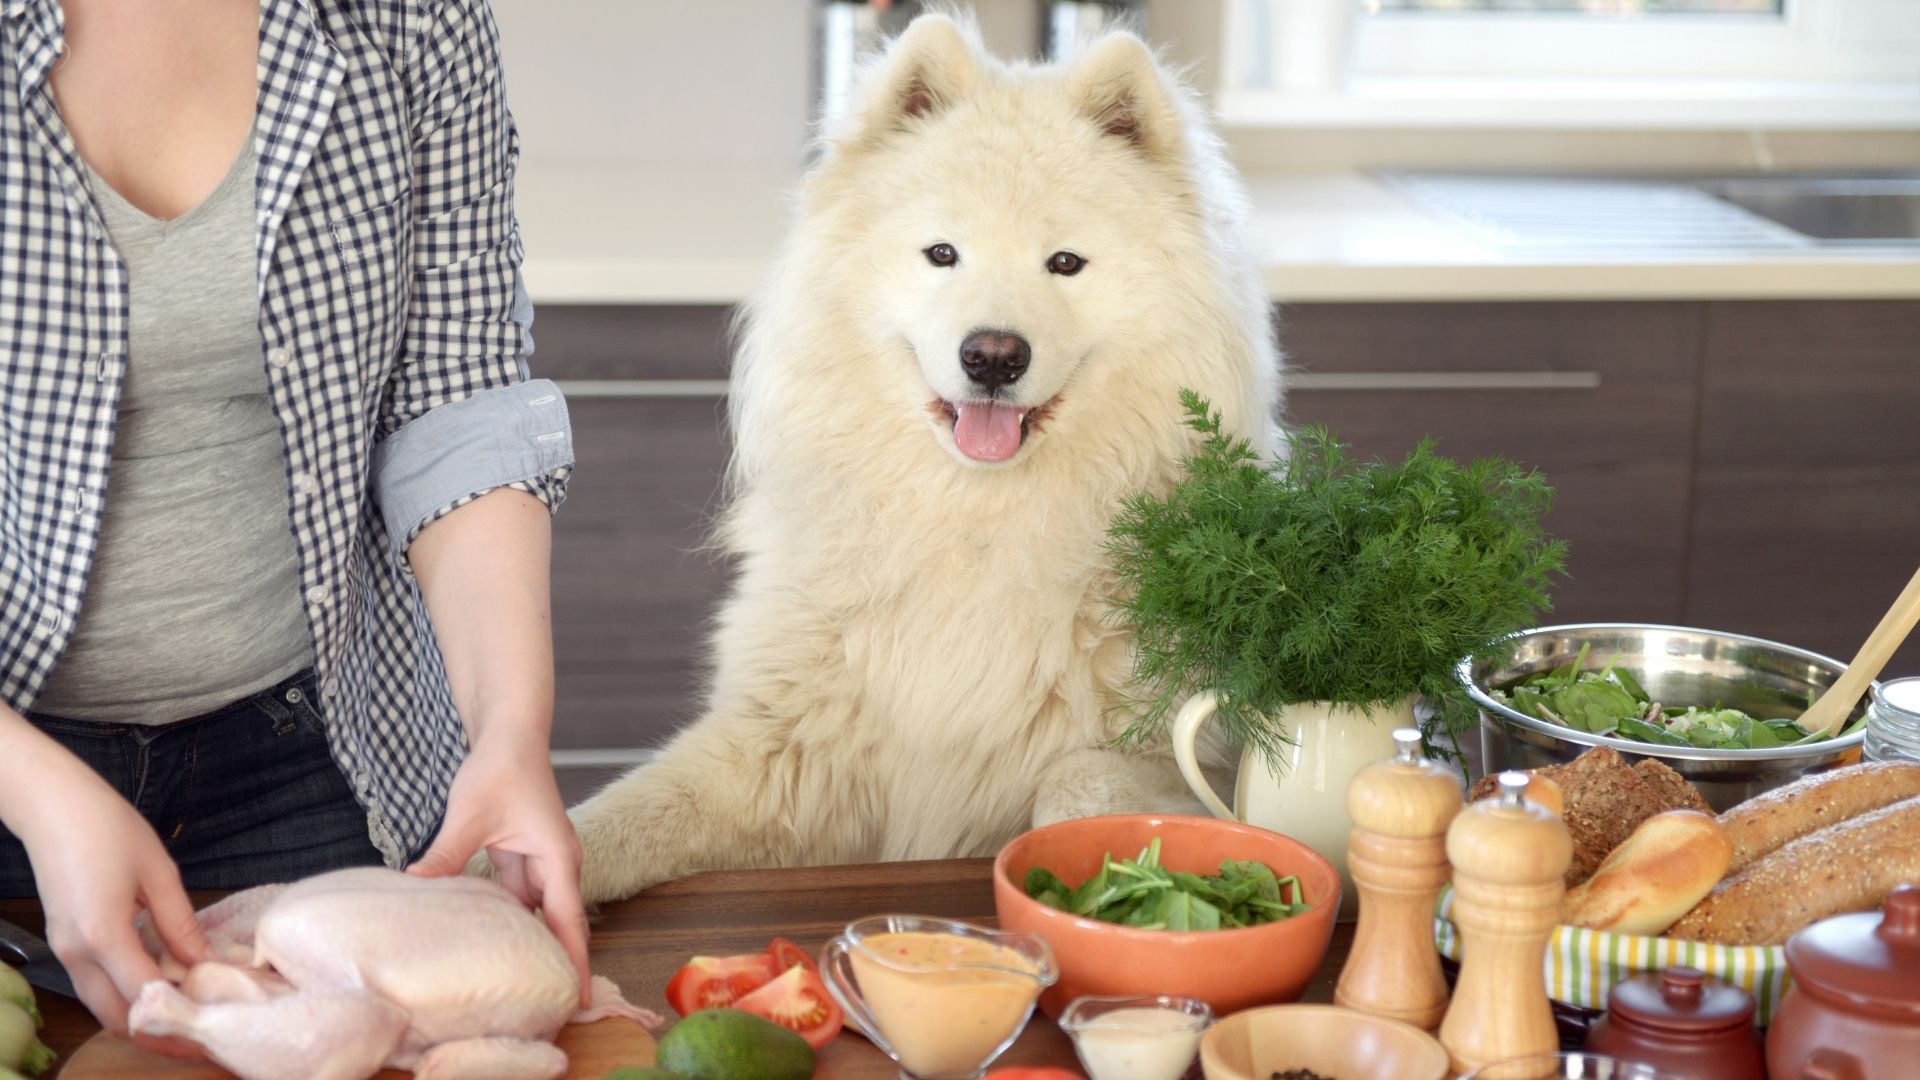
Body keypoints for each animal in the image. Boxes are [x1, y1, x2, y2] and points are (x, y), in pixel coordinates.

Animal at [576, 12, 1282, 899]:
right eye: (943, 254)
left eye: (1065, 263)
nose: (993, 356)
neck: (975, 526)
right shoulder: (778, 746)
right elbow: (609, 821)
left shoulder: (1160, 747)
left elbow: (1079, 787)